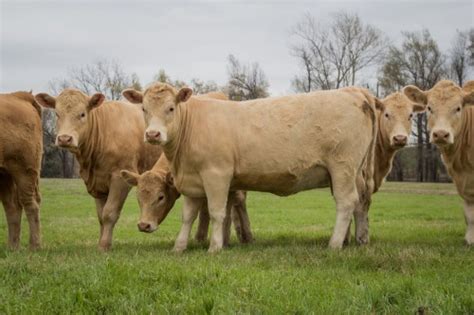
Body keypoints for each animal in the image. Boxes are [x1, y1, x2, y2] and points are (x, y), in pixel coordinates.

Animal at [0, 92, 42, 251]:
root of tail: (19, 96)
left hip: (25, 172)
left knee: (30, 205)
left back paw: (34, 246)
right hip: (5, 174)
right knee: (11, 206)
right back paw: (12, 247)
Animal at [34, 89, 162, 252]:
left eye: (82, 114)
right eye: (57, 114)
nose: (64, 138)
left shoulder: (120, 178)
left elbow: (109, 213)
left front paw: (104, 245)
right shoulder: (99, 184)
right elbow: (101, 216)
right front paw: (102, 242)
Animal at [402, 80, 474, 246]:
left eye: (458, 108)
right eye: (429, 107)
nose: (441, 134)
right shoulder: (462, 180)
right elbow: (469, 213)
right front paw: (470, 238)